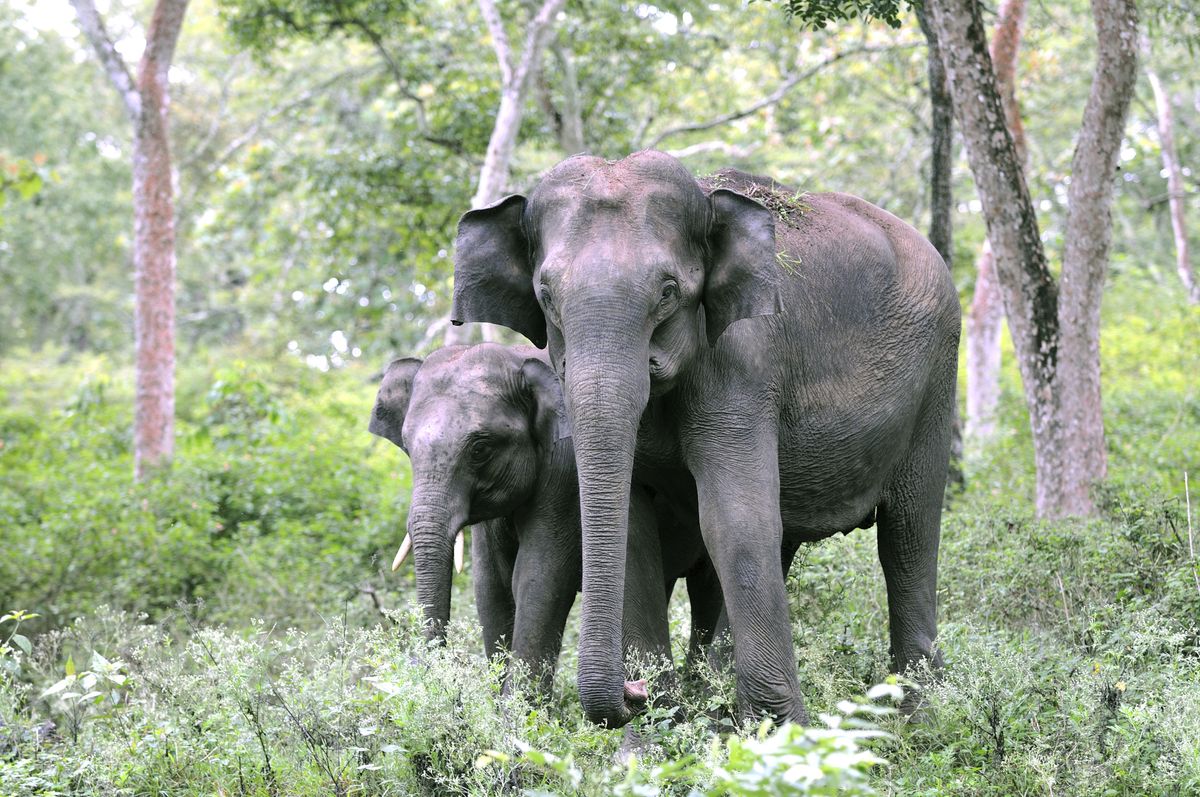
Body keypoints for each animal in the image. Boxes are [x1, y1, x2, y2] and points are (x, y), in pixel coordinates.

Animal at [368, 342, 721, 697]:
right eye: (407, 447)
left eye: (480, 449)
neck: (517, 360)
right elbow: (491, 585)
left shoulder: (565, 472)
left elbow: (540, 576)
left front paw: (519, 710)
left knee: (707, 589)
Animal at [450, 151, 961, 727]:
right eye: (546, 296)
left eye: (668, 291)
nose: (632, 691)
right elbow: (636, 534)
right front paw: (659, 732)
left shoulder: (743, 362)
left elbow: (734, 521)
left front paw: (782, 737)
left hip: (937, 381)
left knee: (908, 537)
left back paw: (922, 720)